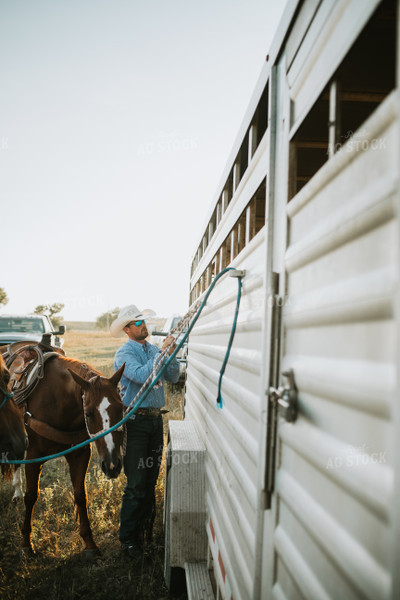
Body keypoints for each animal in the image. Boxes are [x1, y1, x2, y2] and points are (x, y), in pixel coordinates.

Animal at [16, 354, 124, 556]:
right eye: (88, 414)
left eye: (121, 408)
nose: (112, 465)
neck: (57, 399)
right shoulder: (33, 455)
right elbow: (31, 495)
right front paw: (26, 543)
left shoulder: (79, 454)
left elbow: (81, 495)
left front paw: (89, 543)